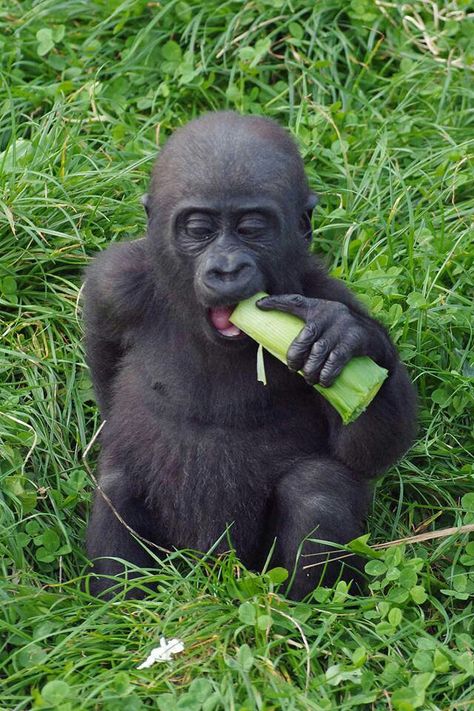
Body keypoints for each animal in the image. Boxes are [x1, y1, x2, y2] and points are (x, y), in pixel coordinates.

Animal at [84, 111, 414, 600]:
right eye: (199, 230)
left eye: (252, 229)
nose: (227, 269)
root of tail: (213, 568)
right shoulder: (112, 285)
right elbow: (105, 363)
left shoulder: (327, 295)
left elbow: (364, 451)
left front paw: (351, 340)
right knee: (117, 485)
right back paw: (126, 606)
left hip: (255, 565)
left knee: (316, 489)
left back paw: (305, 608)